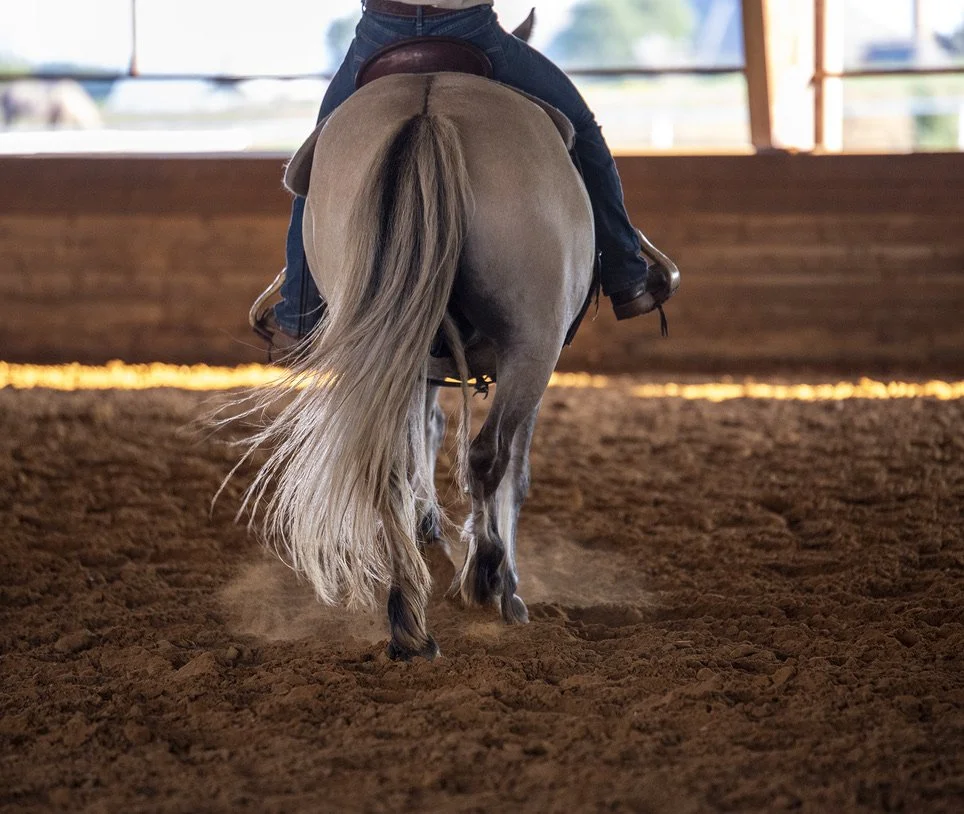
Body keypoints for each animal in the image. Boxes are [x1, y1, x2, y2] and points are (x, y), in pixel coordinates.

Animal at [233, 64, 595, 660]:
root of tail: (429, 110)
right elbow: (511, 473)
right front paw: (499, 583)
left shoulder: (419, 363)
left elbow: (425, 433)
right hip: (532, 344)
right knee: (487, 456)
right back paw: (487, 576)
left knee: (391, 466)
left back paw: (409, 620)